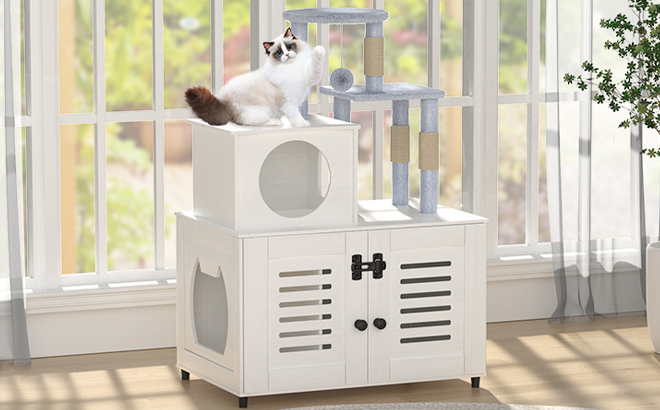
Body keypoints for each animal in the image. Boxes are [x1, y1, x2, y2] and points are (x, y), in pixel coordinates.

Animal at [186, 27, 324, 126]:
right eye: (279, 52)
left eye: (289, 47)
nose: (287, 54)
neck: (291, 67)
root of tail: (224, 101)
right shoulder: (288, 102)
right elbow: (295, 115)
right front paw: (302, 123)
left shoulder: (309, 76)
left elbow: (315, 64)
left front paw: (319, 50)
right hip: (262, 112)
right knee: (245, 121)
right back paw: (276, 122)